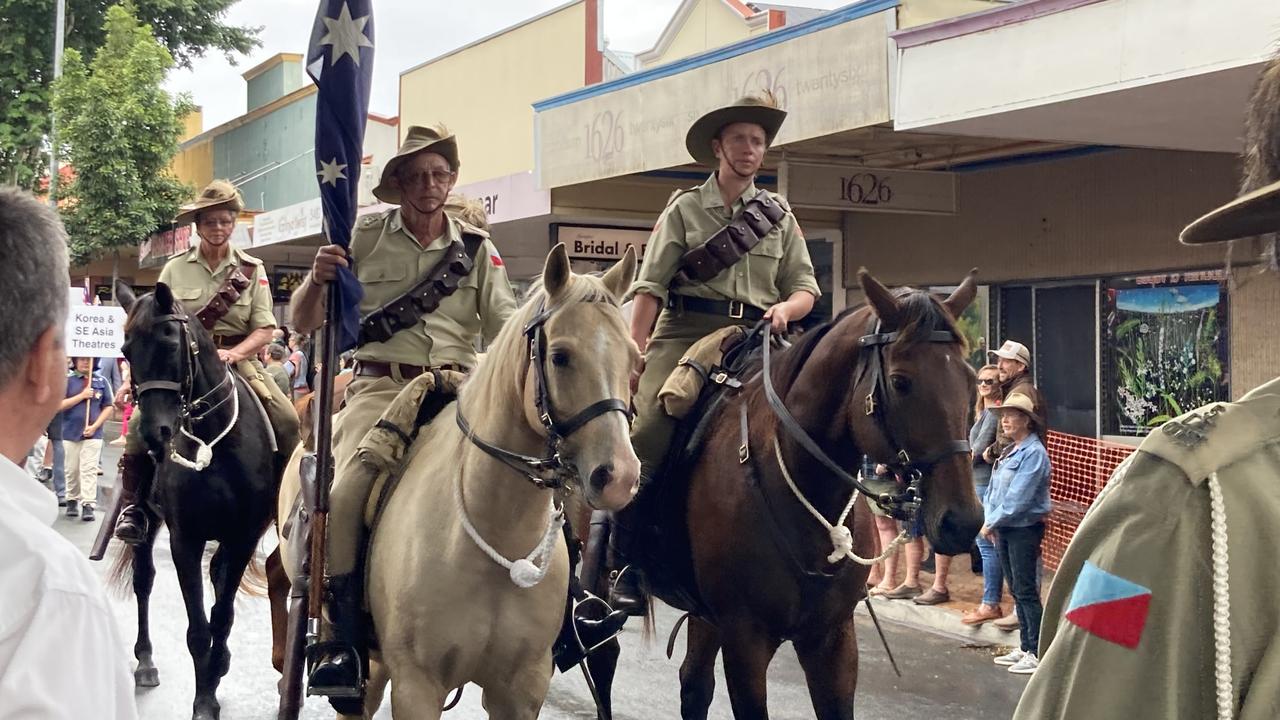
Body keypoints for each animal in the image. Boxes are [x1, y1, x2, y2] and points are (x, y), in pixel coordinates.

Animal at [112, 281, 285, 717]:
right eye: (125, 350)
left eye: (171, 342)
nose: (155, 432)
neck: (214, 443)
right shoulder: (184, 540)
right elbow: (197, 629)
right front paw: (204, 698)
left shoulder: (241, 538)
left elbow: (221, 616)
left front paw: (214, 675)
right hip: (148, 521)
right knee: (144, 581)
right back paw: (145, 661)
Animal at [277, 243, 640, 712]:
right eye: (560, 356)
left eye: (635, 360)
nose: (620, 476)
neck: (497, 534)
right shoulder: (417, 686)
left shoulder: (521, 690)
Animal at [627, 266, 977, 712]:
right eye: (900, 382)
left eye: (970, 380)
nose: (963, 521)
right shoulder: (746, 640)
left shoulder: (832, 639)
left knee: (694, 684)